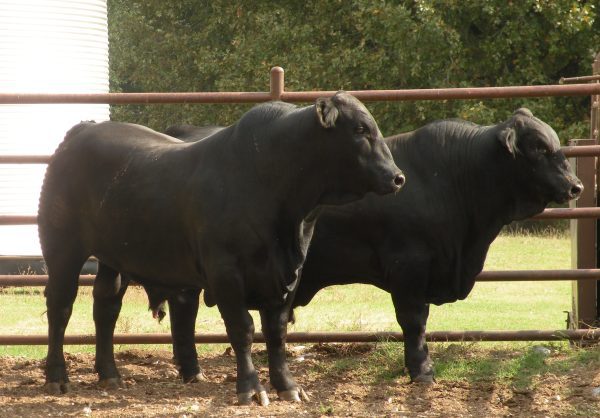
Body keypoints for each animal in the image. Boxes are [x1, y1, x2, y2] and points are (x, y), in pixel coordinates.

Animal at [37, 92, 404, 404]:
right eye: (360, 129)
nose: (398, 177)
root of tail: (84, 130)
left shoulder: (287, 274)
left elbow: (277, 332)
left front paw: (288, 386)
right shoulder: (226, 272)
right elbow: (243, 329)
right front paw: (251, 388)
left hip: (113, 258)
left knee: (106, 306)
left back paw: (110, 374)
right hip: (62, 248)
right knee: (61, 306)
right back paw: (57, 377)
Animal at [139, 108, 580, 386]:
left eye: (556, 145)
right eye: (539, 148)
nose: (576, 186)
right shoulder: (409, 266)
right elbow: (414, 322)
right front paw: (421, 370)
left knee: (183, 312)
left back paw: (191, 370)